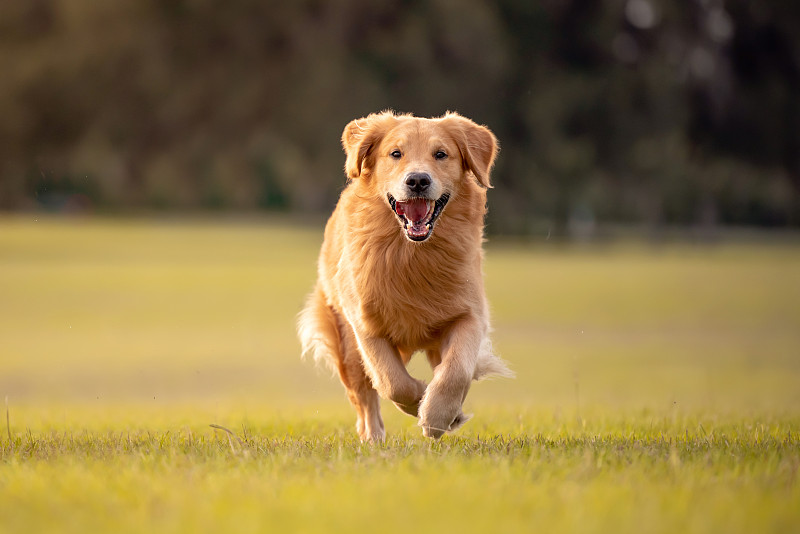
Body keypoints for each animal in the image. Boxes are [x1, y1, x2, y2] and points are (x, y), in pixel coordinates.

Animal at [298, 111, 512, 442]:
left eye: (441, 154)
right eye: (395, 153)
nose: (418, 180)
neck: (411, 254)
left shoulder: (469, 314)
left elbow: (457, 371)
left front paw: (438, 415)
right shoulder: (365, 324)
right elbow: (392, 382)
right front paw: (421, 399)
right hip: (345, 344)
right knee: (365, 397)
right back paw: (372, 437)